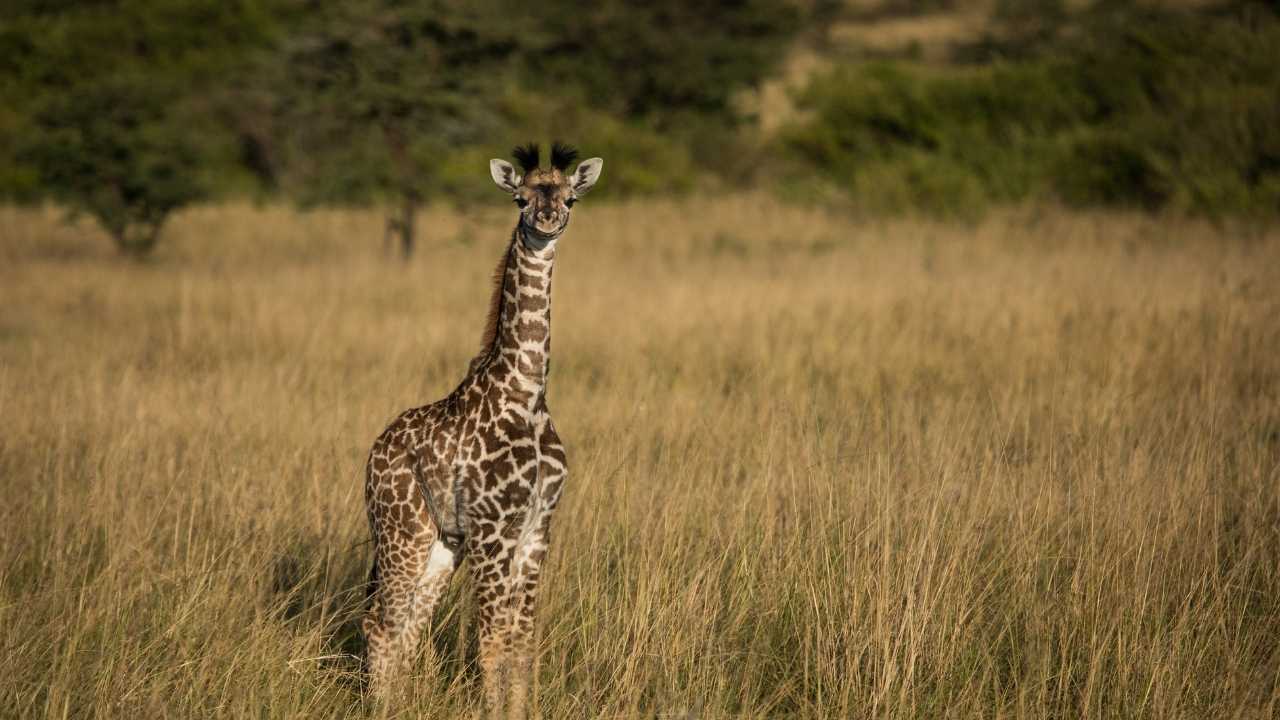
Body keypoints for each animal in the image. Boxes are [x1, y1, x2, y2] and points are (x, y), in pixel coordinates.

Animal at [361, 141, 603, 719]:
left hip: (441, 543)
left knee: (407, 628)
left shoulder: (537, 528)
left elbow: (522, 643)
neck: (527, 391)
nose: (547, 221)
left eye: (570, 197)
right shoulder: (494, 529)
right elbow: (491, 644)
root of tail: (373, 454)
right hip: (402, 532)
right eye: (520, 198)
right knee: (379, 623)